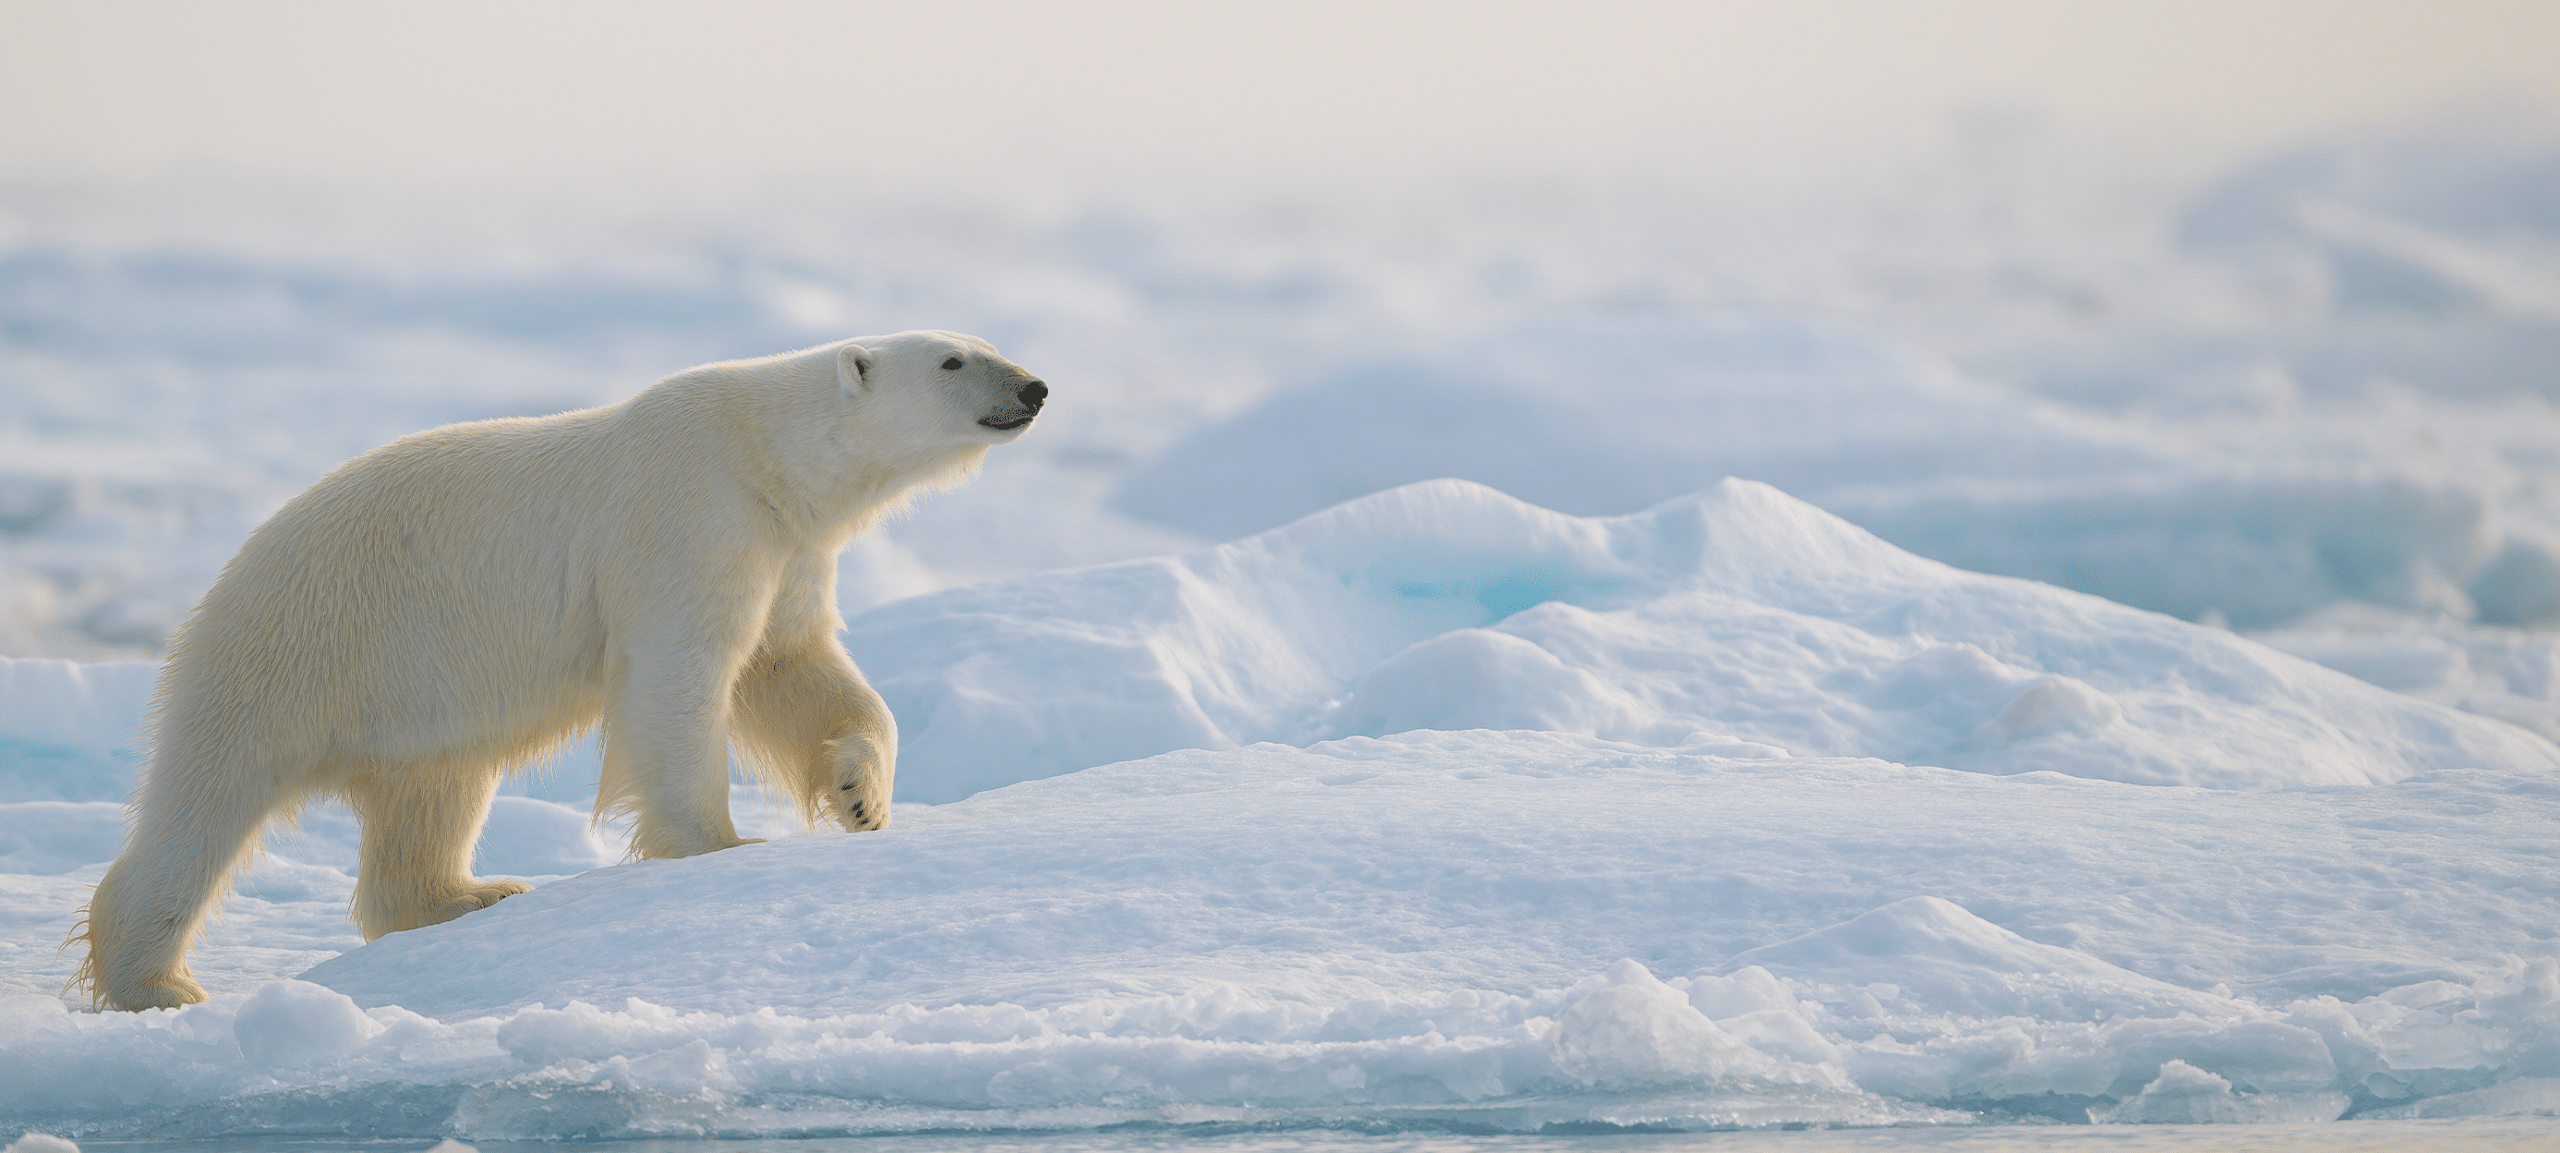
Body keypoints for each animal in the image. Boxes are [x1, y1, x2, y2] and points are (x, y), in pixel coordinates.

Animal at [73, 331, 1045, 1011]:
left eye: (985, 341)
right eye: (955, 359)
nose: (1034, 387)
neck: (765, 455)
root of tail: (227, 579)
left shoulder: (787, 548)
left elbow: (795, 665)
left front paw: (861, 796)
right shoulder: (690, 516)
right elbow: (683, 675)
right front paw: (720, 847)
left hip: (415, 698)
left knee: (433, 795)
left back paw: (473, 894)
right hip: (298, 649)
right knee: (205, 803)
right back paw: (157, 982)